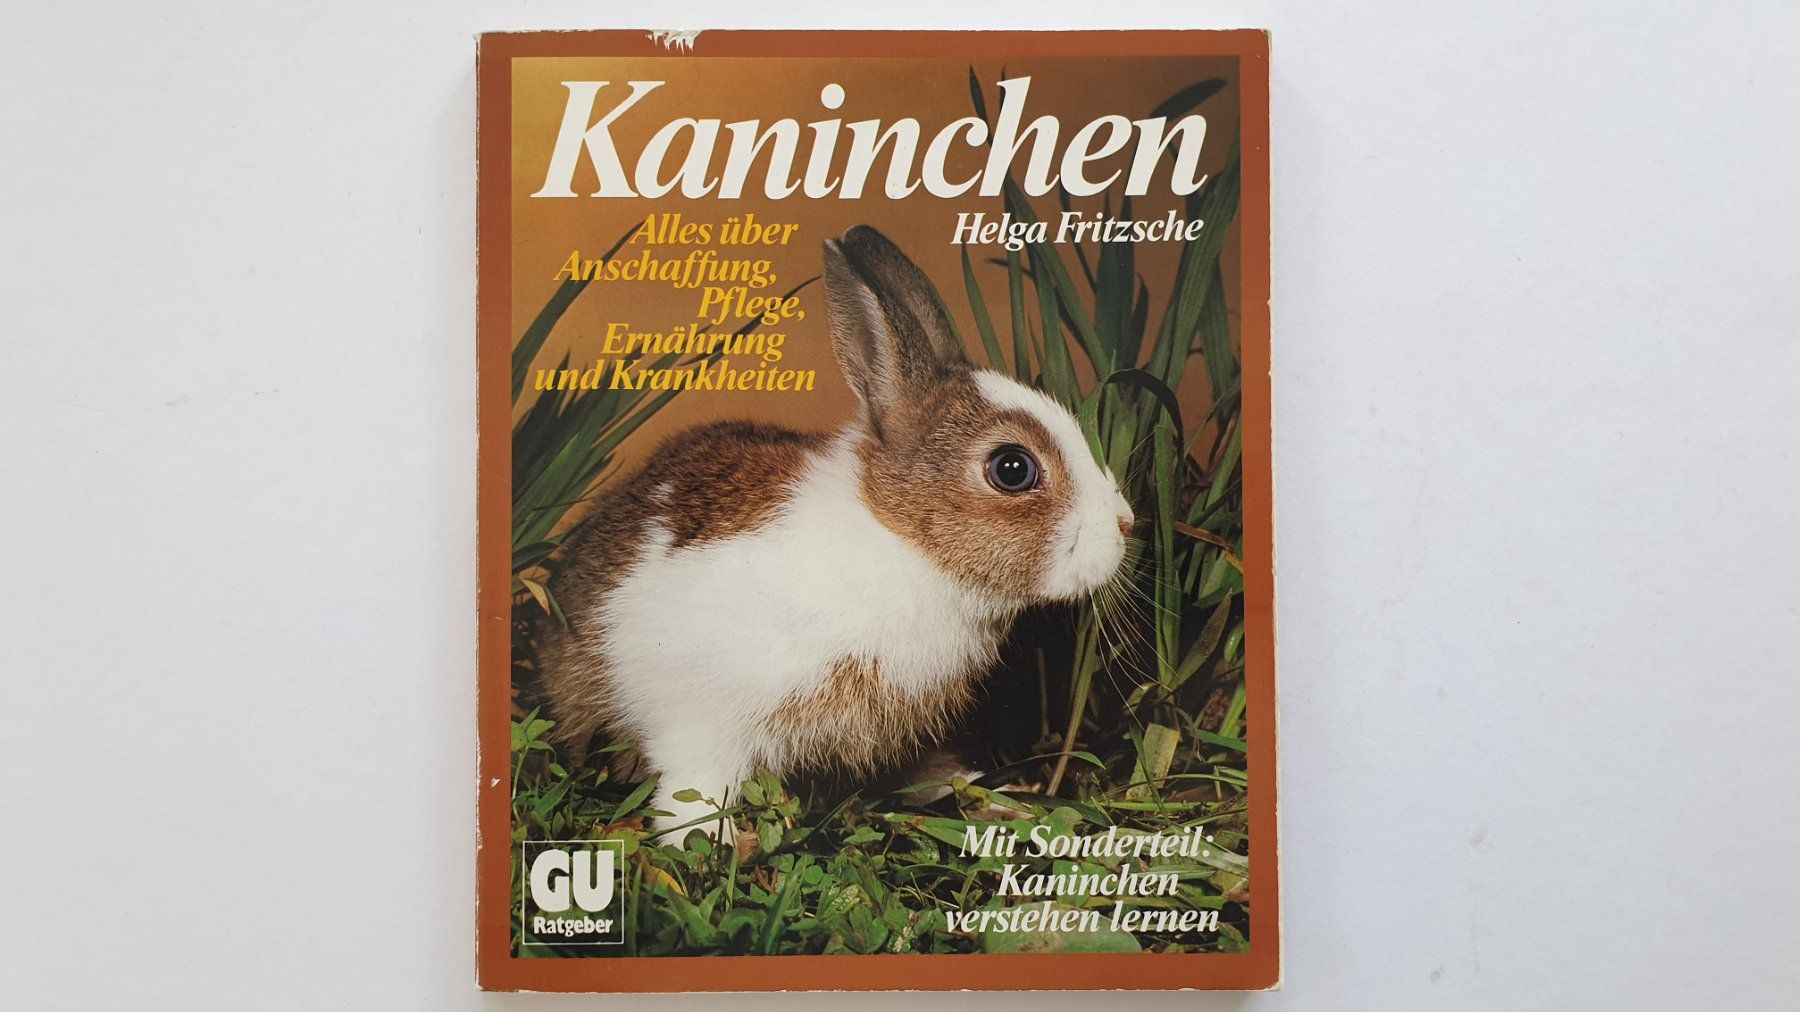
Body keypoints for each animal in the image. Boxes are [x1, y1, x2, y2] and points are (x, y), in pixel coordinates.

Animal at [535, 225, 1134, 839]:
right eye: (1013, 469)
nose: (1125, 525)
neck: (902, 541)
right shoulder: (704, 722)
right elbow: (695, 791)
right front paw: (709, 841)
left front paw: (994, 797)